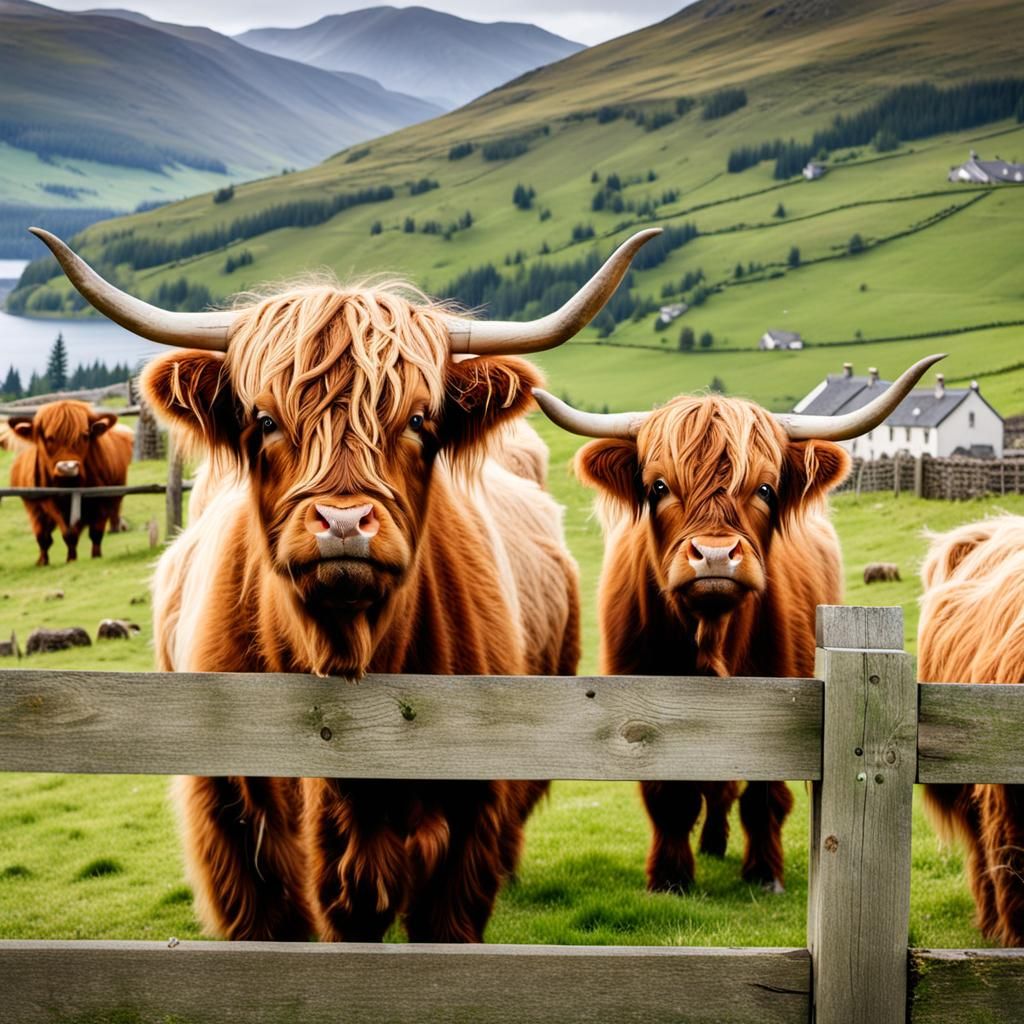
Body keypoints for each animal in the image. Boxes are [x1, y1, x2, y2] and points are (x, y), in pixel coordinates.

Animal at [6, 400, 133, 565]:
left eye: (84, 436)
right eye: (49, 438)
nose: (67, 467)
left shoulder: (103, 500)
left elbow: (96, 533)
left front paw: (96, 556)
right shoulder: (49, 501)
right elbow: (68, 533)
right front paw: (71, 559)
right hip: (33, 507)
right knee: (42, 536)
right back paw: (42, 562)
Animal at [533, 355, 943, 895]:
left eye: (765, 488)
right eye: (659, 486)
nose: (714, 555)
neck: (711, 638)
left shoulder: (789, 706)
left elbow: (763, 796)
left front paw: (764, 872)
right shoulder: (638, 703)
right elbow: (669, 796)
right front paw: (670, 877)